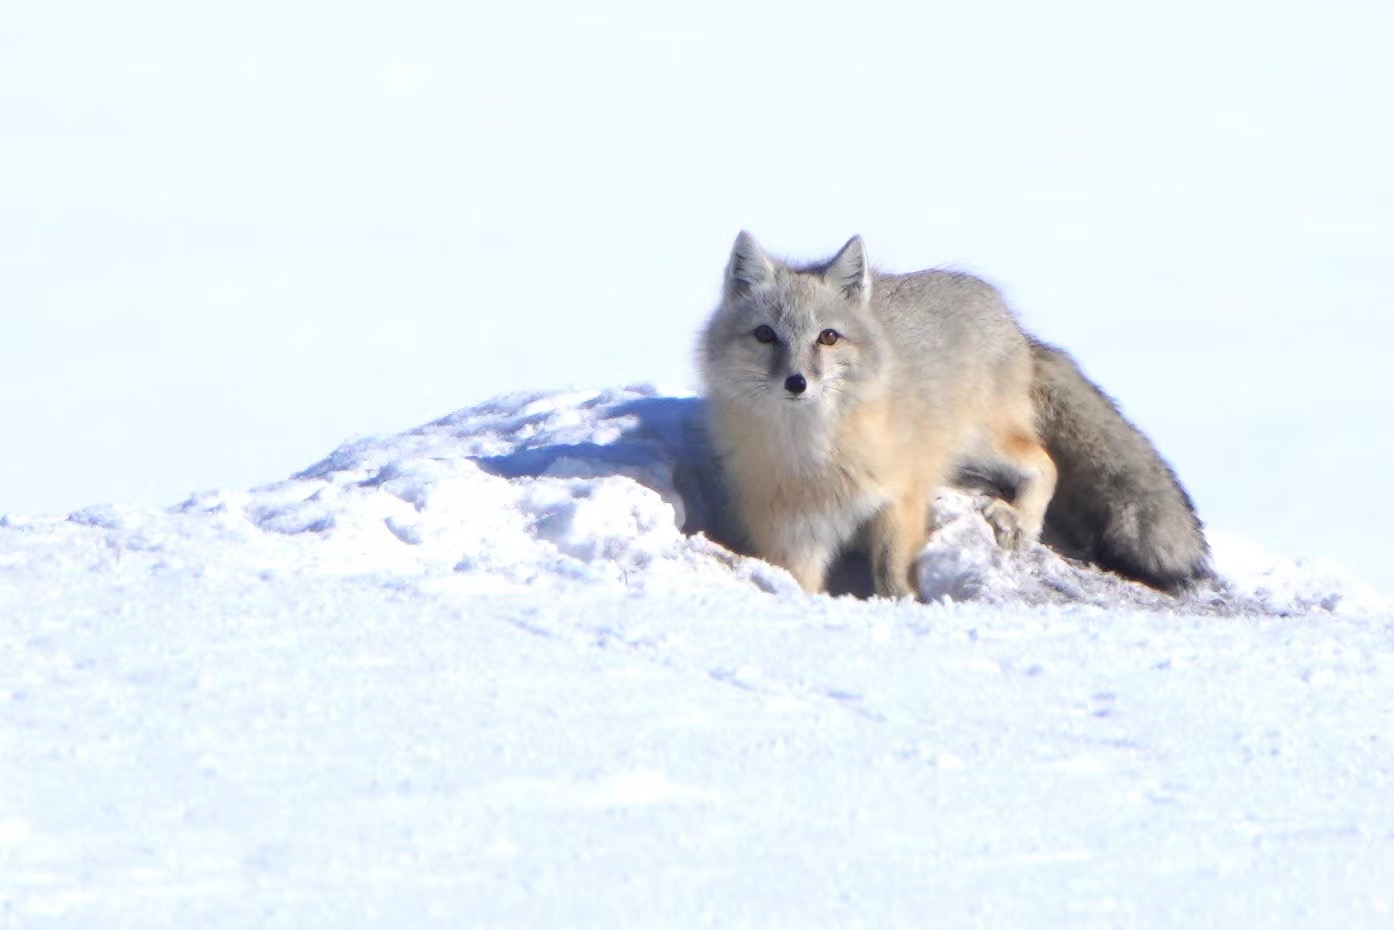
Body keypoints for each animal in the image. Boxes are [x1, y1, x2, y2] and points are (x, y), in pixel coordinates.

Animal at [697, 228, 1209, 599]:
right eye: (765, 335)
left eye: (828, 337)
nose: (797, 382)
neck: (815, 457)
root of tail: (1013, 324)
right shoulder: (791, 532)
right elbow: (800, 583)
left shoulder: (899, 498)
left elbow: (892, 573)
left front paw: (902, 605)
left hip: (983, 441)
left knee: (1045, 462)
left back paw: (1019, 519)